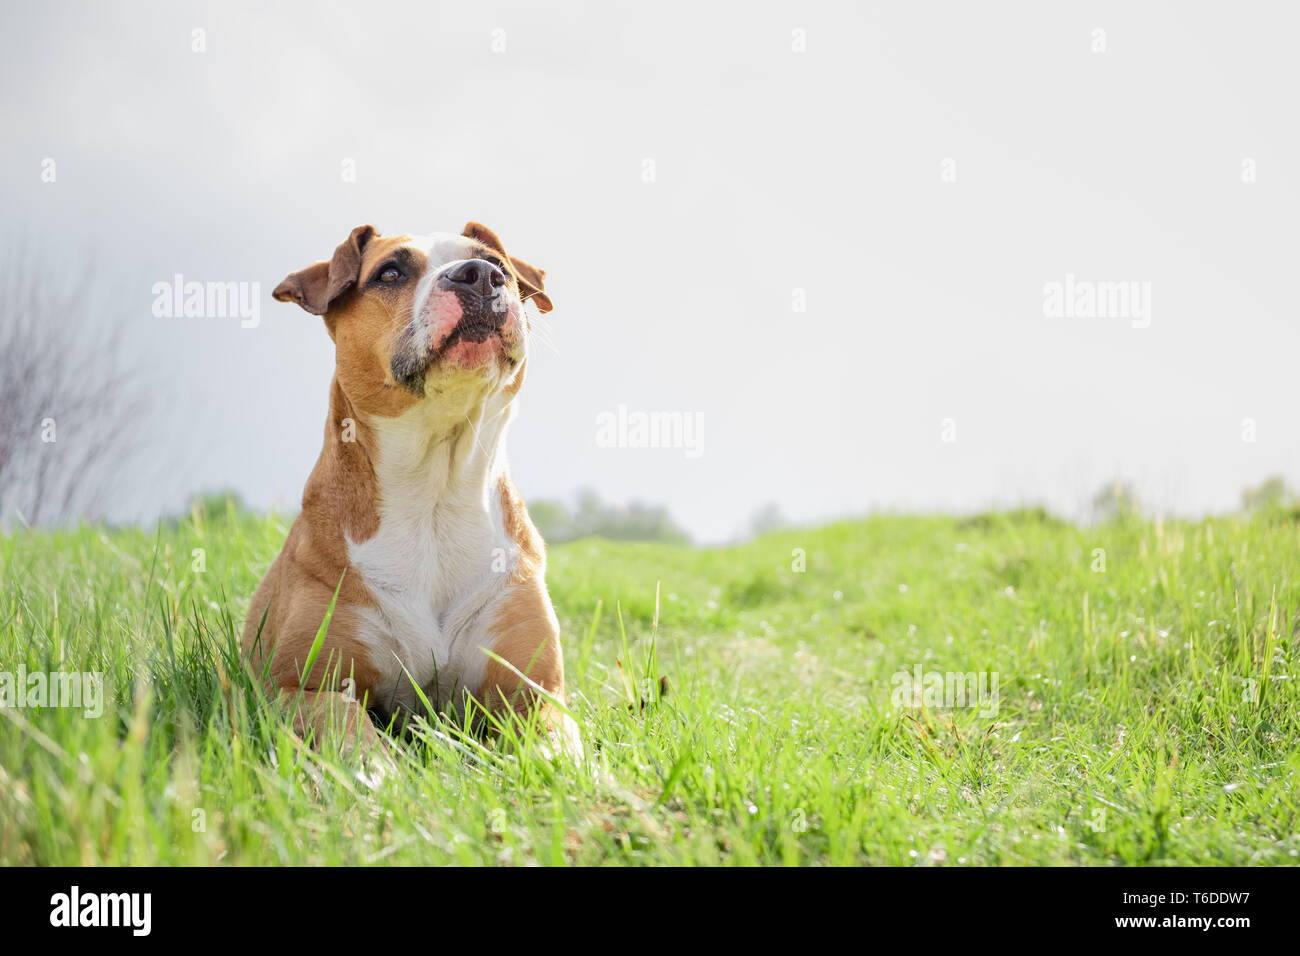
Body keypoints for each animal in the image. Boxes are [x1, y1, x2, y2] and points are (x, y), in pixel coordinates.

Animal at [241, 221, 577, 759]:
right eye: (390, 273)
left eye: (497, 265)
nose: (479, 275)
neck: (435, 490)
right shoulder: (299, 688)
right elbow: (348, 728)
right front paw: (377, 771)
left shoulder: (535, 693)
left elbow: (556, 749)